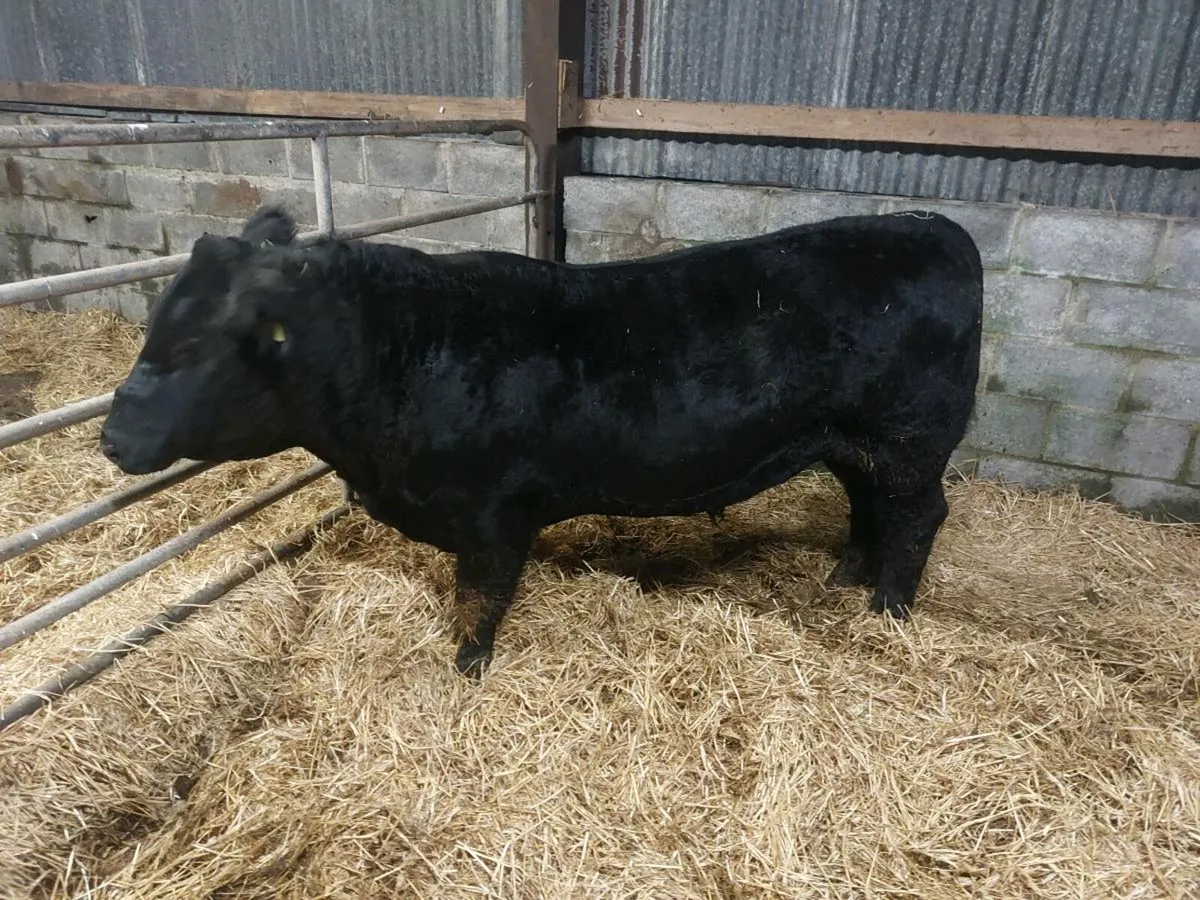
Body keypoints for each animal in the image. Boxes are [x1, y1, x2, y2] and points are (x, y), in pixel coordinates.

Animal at [100, 205, 983, 677]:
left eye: (188, 347)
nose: (109, 438)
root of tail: (933, 224)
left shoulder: (493, 512)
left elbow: (481, 597)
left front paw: (467, 669)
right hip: (853, 442)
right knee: (867, 508)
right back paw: (844, 578)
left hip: (910, 440)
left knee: (917, 519)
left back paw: (888, 611)